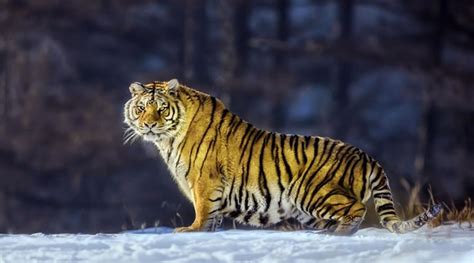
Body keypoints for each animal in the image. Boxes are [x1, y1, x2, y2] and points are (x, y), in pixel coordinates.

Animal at [122, 79, 440, 236]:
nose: (148, 124)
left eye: (161, 109)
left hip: (312, 191)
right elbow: (212, 217)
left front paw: (190, 231)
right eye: (141, 108)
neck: (167, 139)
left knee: (356, 210)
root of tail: (367, 157)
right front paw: (204, 233)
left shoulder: (205, 181)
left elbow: (203, 211)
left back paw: (339, 234)